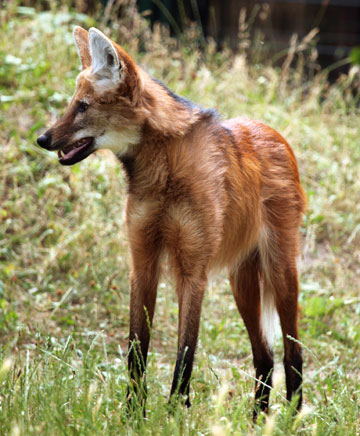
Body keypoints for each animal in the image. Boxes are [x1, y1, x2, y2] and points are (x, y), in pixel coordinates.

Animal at [37, 25, 306, 418]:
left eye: (83, 106)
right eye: (73, 103)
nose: (42, 138)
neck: (161, 171)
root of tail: (274, 133)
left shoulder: (192, 270)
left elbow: (185, 351)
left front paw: (175, 412)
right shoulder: (143, 262)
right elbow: (137, 349)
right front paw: (133, 414)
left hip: (280, 271)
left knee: (292, 353)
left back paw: (292, 419)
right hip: (241, 283)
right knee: (265, 356)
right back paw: (258, 420)